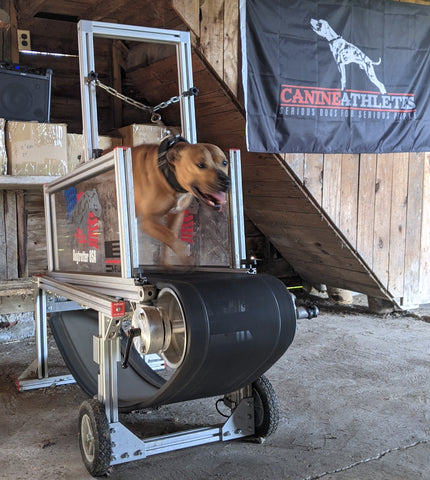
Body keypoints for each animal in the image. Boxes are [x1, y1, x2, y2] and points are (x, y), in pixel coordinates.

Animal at [133, 135, 230, 266]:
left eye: (224, 162)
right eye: (200, 165)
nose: (226, 182)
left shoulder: (176, 215)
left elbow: (169, 238)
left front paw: (166, 263)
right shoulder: (149, 221)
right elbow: (171, 237)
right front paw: (186, 258)